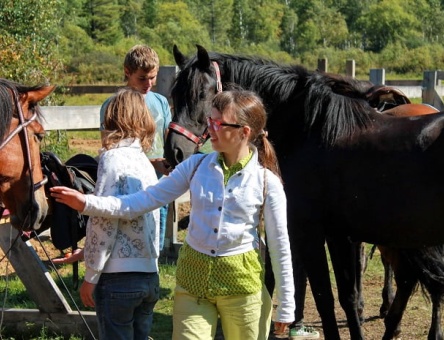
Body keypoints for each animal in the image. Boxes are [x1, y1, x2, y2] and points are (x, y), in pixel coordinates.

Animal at [166, 45, 444, 340]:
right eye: (174, 96)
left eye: (201, 94)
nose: (174, 150)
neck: (309, 131)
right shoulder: (338, 234)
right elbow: (347, 296)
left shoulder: (309, 231)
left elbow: (324, 296)